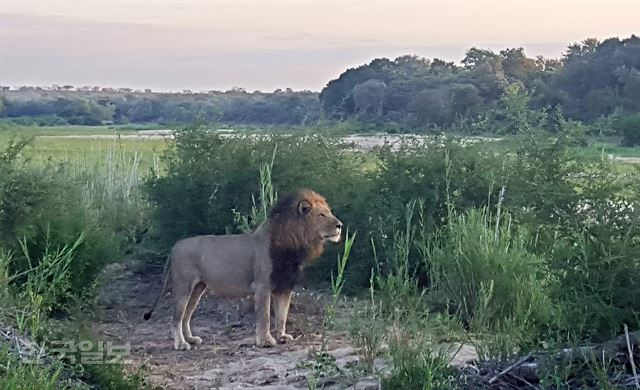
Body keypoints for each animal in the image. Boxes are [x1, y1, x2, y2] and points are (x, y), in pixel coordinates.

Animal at [142, 189, 342, 350]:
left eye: (329, 212)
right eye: (322, 215)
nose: (340, 225)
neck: (294, 243)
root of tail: (175, 246)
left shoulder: (284, 286)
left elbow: (282, 315)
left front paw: (282, 336)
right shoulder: (262, 286)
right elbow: (265, 317)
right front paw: (265, 341)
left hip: (198, 289)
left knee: (185, 316)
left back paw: (191, 339)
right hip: (183, 287)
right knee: (175, 318)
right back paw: (181, 344)